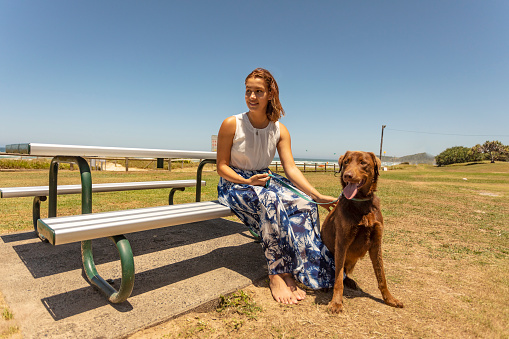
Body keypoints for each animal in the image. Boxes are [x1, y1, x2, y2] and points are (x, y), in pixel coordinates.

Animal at [322, 151, 400, 314]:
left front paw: (390, 299)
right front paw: (336, 302)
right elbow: (338, 278)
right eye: (346, 162)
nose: (347, 175)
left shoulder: (376, 243)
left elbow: (381, 276)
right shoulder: (342, 242)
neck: (361, 202)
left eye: (363, 162)